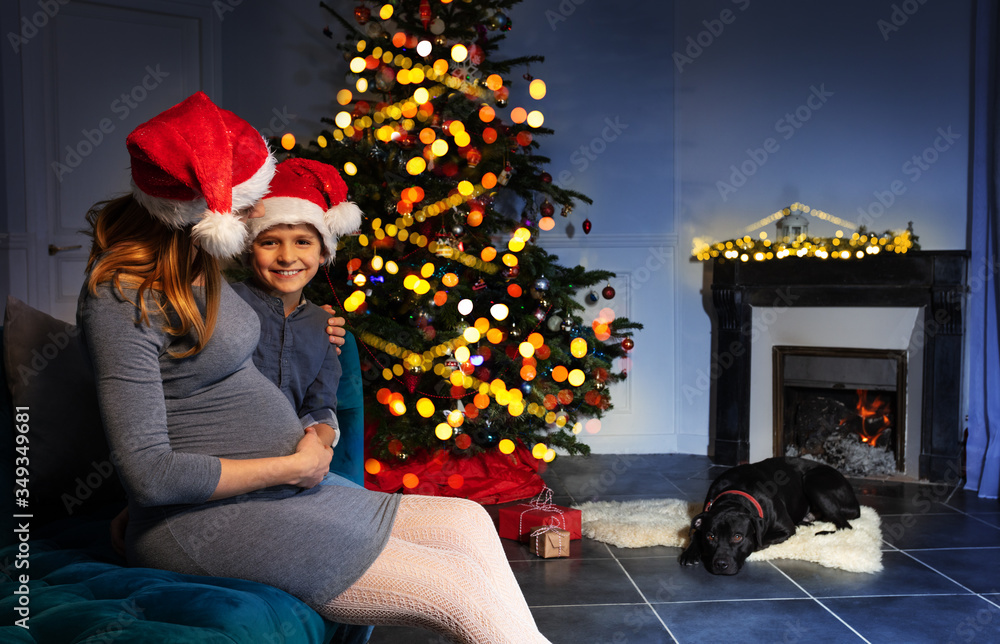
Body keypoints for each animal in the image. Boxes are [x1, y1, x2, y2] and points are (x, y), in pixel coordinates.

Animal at [680, 456, 860, 576]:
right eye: (710, 536)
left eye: (738, 537)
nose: (720, 564)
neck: (735, 494)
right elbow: (695, 534)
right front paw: (690, 552)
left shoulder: (786, 529)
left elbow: (758, 542)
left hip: (813, 482)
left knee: (845, 525)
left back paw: (823, 532)